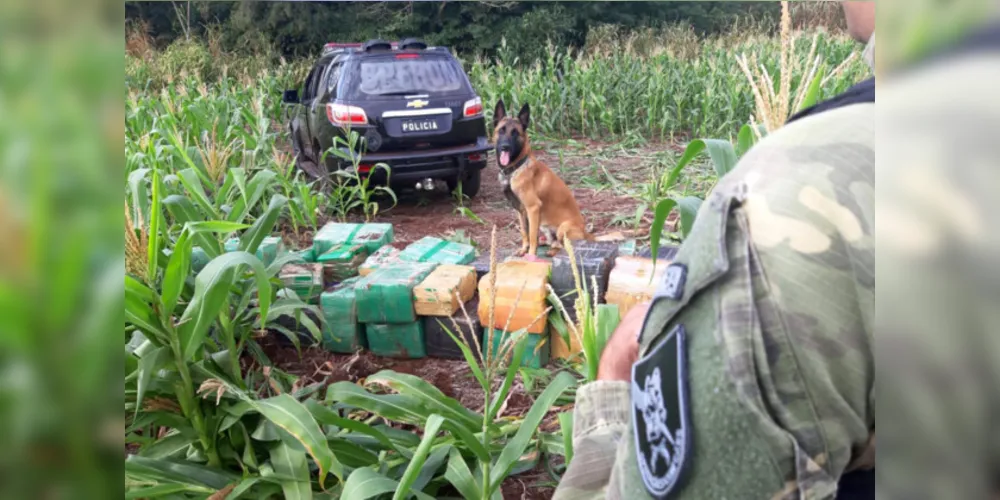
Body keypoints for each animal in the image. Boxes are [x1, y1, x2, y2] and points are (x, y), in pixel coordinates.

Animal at [494, 101, 592, 258]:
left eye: (515, 132)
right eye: (501, 131)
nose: (505, 147)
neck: (514, 169)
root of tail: (586, 233)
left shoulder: (533, 208)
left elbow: (532, 236)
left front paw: (531, 255)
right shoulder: (521, 211)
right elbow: (525, 232)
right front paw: (524, 249)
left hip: (563, 227)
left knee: (566, 247)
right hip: (545, 226)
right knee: (554, 243)